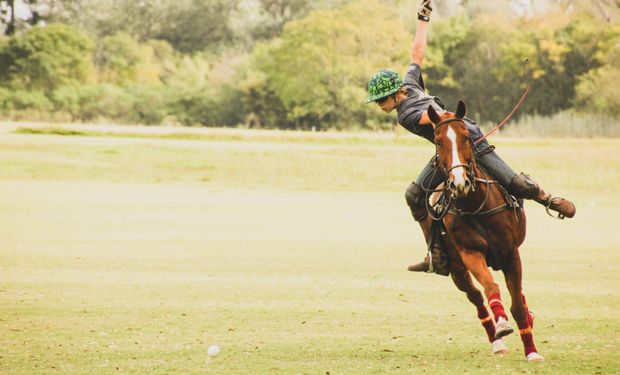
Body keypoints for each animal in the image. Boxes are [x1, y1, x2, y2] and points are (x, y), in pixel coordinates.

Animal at [426, 100, 544, 362]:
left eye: (466, 136)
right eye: (438, 141)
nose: (459, 182)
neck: (475, 204)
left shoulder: (511, 253)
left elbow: (517, 305)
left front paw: (532, 351)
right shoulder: (470, 255)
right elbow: (491, 288)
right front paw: (502, 323)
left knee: (518, 295)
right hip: (456, 269)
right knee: (477, 299)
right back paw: (497, 342)